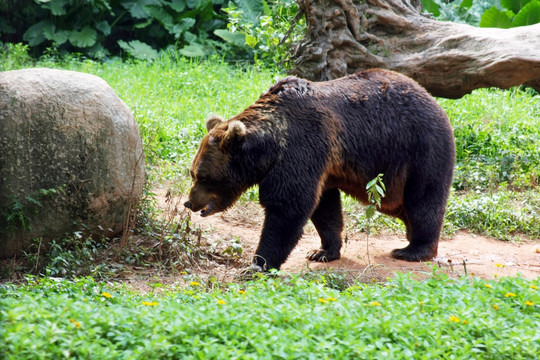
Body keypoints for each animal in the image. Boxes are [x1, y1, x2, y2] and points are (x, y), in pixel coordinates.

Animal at [185, 68, 456, 270]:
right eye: (193, 172)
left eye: (204, 177)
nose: (189, 202)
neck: (269, 146)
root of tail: (433, 99)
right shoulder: (323, 165)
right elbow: (325, 207)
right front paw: (323, 251)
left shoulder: (302, 146)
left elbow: (287, 207)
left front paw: (259, 264)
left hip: (419, 148)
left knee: (423, 200)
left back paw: (412, 250)